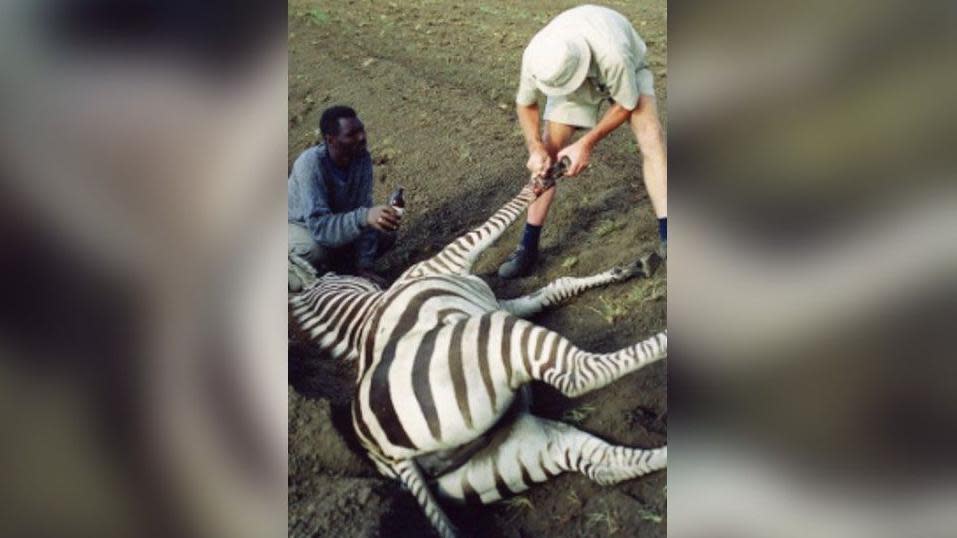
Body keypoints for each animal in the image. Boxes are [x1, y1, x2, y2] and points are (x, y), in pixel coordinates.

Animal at [290, 177, 664, 536]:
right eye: (336, 273)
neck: (367, 313)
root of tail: (390, 456)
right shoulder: (463, 259)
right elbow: (504, 215)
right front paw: (544, 178)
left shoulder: (502, 304)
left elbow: (556, 287)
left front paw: (628, 269)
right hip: (498, 335)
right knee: (581, 375)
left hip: (508, 456)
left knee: (604, 466)